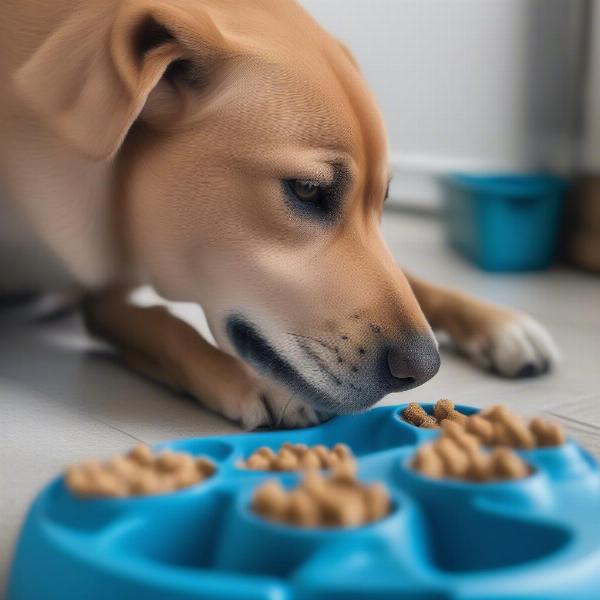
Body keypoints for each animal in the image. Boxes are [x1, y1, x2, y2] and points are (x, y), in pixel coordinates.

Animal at [0, 2, 556, 428]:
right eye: (308, 191)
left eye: (383, 202)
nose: (423, 368)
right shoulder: (104, 290)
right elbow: (166, 326)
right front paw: (253, 381)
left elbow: (415, 280)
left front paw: (499, 322)